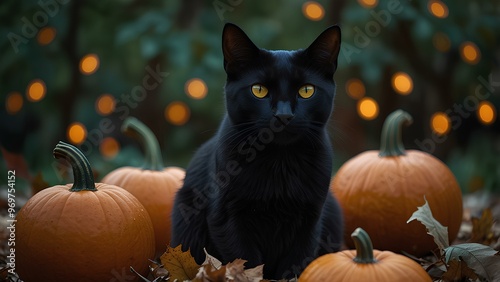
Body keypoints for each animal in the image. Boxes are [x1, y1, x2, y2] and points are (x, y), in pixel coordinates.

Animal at [172, 23, 344, 278]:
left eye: (306, 91)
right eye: (259, 90)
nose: (283, 115)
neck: (279, 162)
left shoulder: (311, 220)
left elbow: (294, 265)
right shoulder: (227, 218)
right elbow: (246, 262)